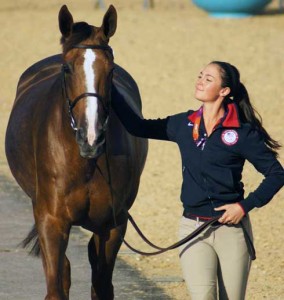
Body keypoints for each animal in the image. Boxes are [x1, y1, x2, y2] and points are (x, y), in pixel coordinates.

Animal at [5, 5, 149, 300]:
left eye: (111, 69)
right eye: (67, 68)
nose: (90, 137)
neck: (87, 164)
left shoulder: (112, 226)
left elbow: (102, 286)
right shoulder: (52, 222)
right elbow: (57, 286)